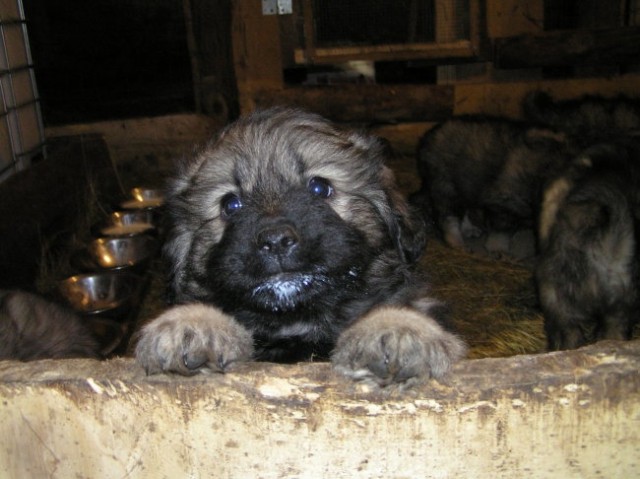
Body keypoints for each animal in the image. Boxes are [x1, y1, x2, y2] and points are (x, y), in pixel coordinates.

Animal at [135, 107, 464, 388]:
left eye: (319, 187)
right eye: (230, 205)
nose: (275, 241)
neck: (299, 322)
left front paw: (397, 329)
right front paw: (191, 323)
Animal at [410, 115, 568, 256]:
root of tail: (427, 138)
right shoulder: (504, 201)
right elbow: (502, 230)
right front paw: (498, 249)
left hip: (463, 185)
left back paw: (468, 229)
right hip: (446, 185)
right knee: (448, 216)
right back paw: (456, 242)